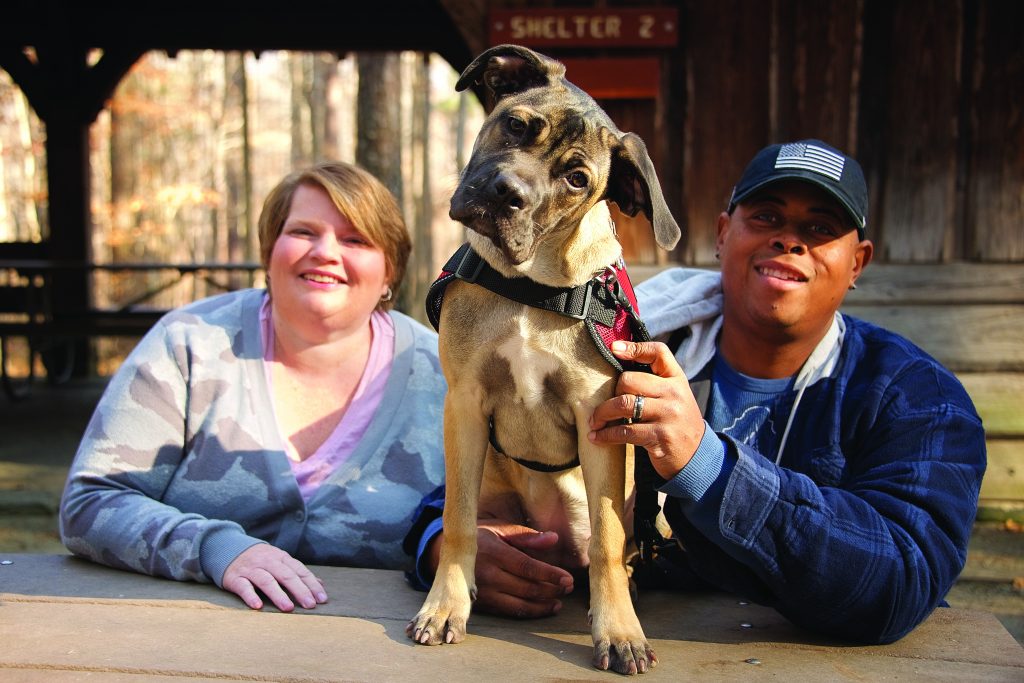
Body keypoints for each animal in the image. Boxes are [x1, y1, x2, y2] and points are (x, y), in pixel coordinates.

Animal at [405, 45, 679, 675]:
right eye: (516, 125)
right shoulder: (464, 404)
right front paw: (445, 606)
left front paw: (619, 630)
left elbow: (607, 540)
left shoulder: (602, 421)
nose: (508, 192)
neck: (533, 284)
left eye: (578, 180)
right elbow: (456, 522)